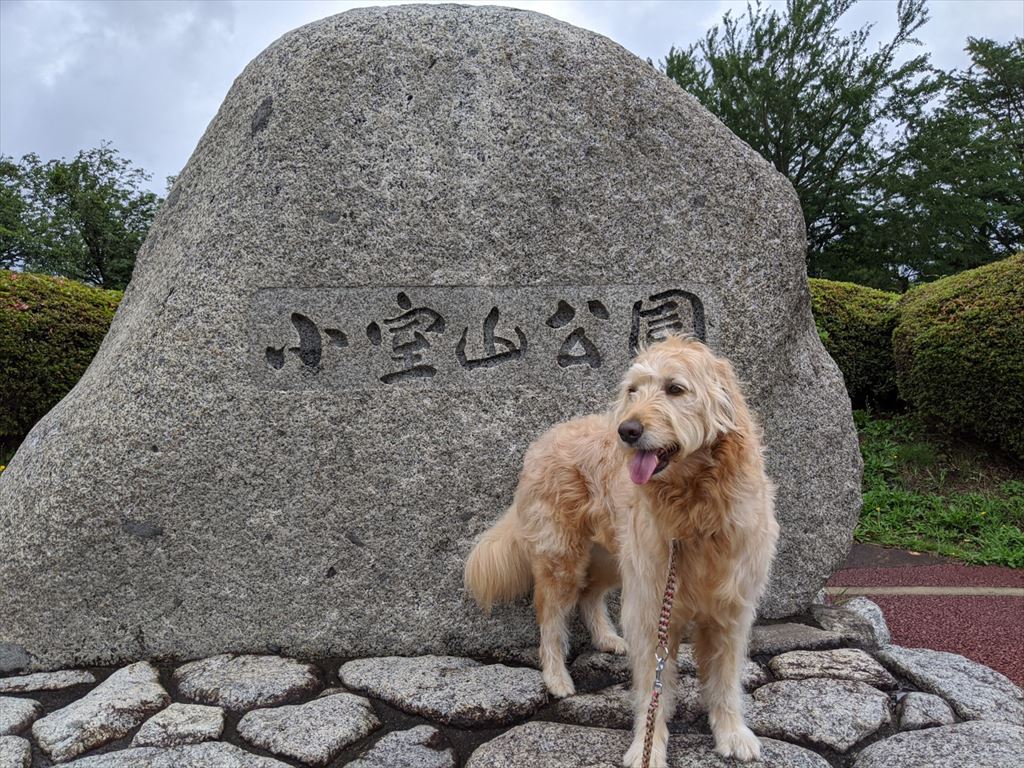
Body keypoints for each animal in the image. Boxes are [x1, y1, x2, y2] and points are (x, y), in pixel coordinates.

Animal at [464, 337, 774, 768]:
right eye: (633, 390)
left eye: (675, 389)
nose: (627, 430)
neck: (693, 507)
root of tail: (545, 437)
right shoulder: (651, 606)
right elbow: (652, 690)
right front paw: (647, 746)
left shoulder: (730, 609)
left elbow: (725, 679)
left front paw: (732, 733)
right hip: (564, 557)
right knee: (551, 616)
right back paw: (557, 677)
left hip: (614, 556)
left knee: (590, 595)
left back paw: (608, 639)